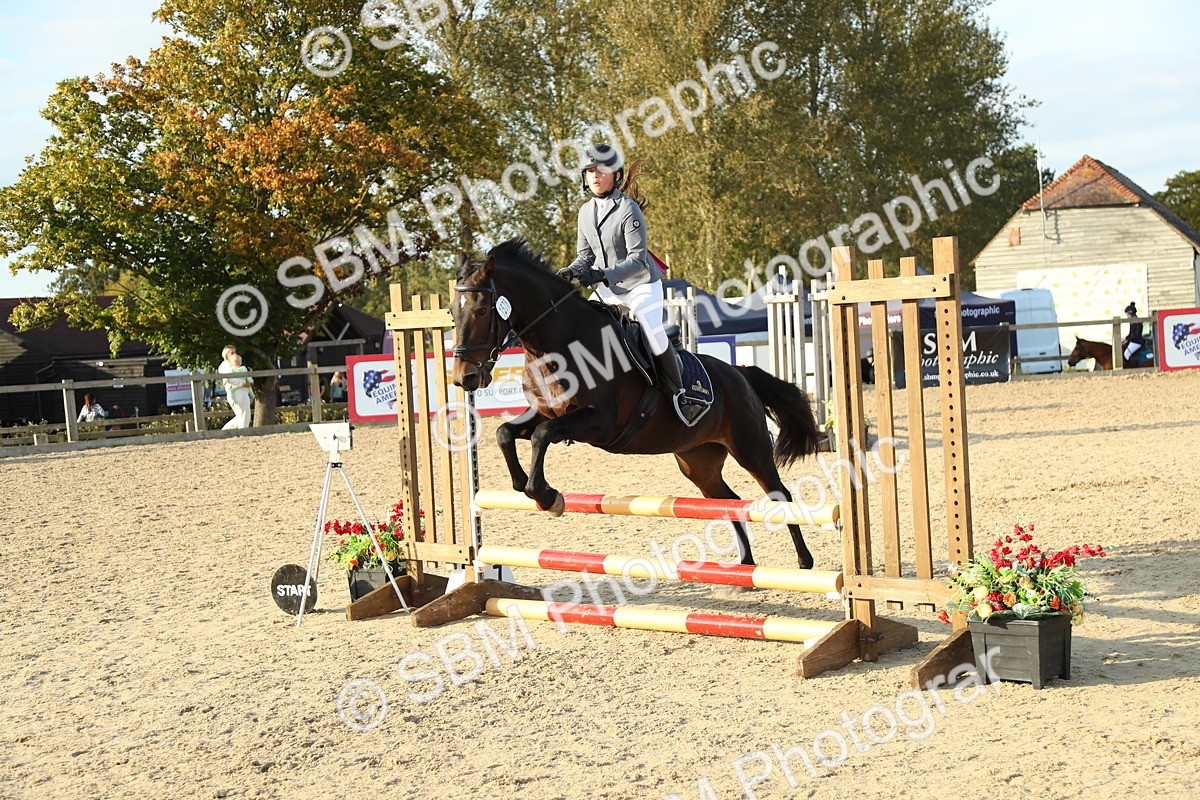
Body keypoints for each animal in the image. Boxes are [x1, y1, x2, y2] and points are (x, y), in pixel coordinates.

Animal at [450, 238, 823, 569]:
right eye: (453, 313)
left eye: (482, 310)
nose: (464, 378)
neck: (556, 346)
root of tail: (740, 373)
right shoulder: (544, 412)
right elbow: (504, 433)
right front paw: (524, 486)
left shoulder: (598, 423)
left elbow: (541, 436)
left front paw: (547, 496)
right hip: (697, 461)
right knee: (726, 501)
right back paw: (745, 566)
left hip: (750, 447)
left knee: (780, 495)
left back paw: (804, 562)